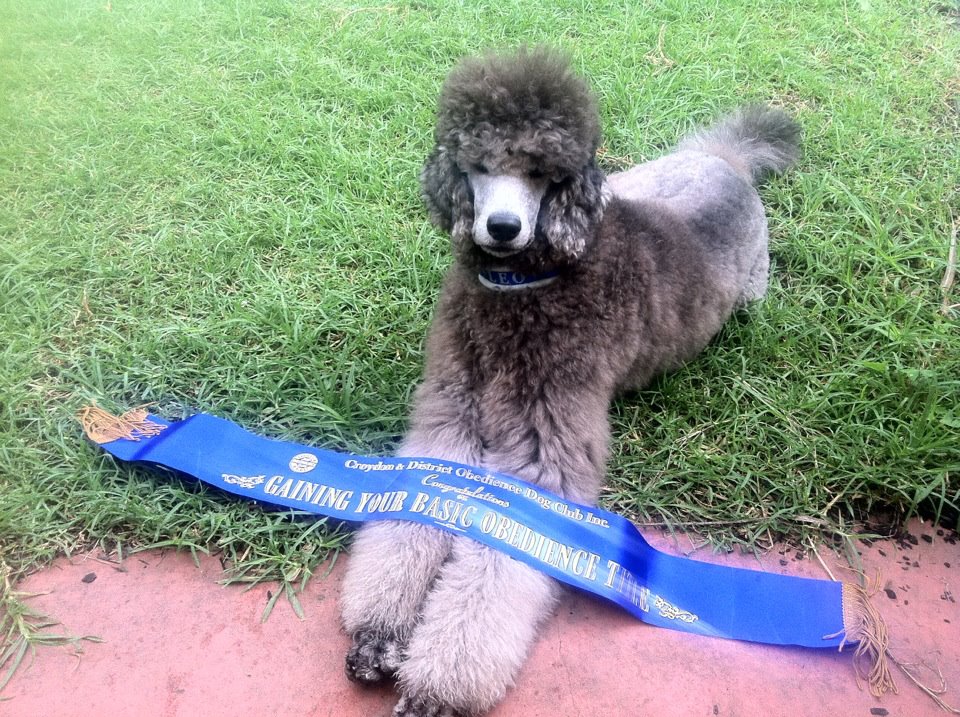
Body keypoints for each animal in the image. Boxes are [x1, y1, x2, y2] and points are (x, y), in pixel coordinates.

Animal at [339, 47, 800, 717]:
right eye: (478, 165)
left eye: (541, 172)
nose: (503, 227)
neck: (524, 289)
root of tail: (727, 162)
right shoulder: (449, 420)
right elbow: (411, 517)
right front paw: (381, 632)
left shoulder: (543, 456)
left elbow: (497, 563)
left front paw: (439, 685)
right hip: (633, 181)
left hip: (751, 293)